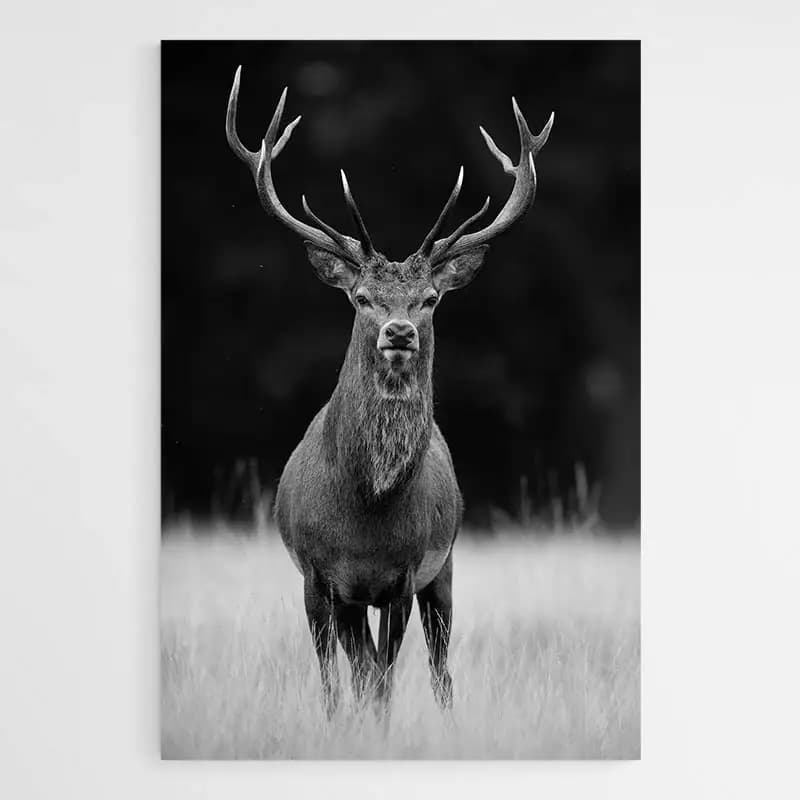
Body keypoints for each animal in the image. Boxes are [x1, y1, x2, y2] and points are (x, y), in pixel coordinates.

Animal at [225, 66, 553, 715]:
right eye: (361, 298)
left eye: (430, 298)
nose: (399, 331)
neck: (366, 511)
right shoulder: (318, 577)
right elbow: (337, 682)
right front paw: (338, 725)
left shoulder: (404, 574)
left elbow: (383, 681)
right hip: (359, 598)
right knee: (361, 666)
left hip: (445, 568)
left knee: (439, 668)